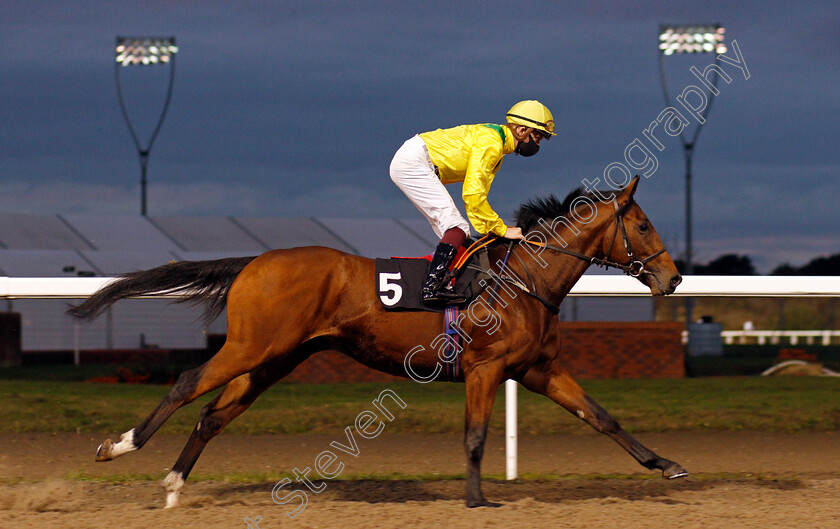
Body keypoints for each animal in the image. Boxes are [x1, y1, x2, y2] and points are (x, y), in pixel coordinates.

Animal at [70, 176, 688, 508]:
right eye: (643, 226)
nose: (674, 277)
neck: (523, 280)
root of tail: (254, 262)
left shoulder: (536, 369)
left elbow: (601, 417)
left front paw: (666, 464)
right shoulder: (486, 369)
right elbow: (475, 437)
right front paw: (476, 499)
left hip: (276, 359)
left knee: (212, 415)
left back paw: (175, 486)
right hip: (250, 348)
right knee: (185, 382)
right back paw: (119, 446)